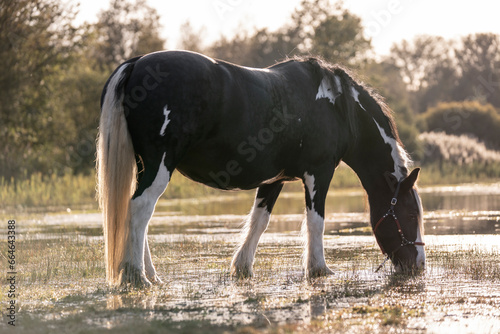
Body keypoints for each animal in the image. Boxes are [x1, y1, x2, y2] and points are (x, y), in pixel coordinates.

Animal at [97, 49, 426, 288]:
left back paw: (150, 275)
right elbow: (315, 222)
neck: (334, 105)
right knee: (140, 209)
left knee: (136, 212)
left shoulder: (273, 179)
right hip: (159, 165)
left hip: (145, 168)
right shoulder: (318, 174)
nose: (419, 265)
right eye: (410, 214)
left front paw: (242, 267)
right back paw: (137, 276)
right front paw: (319, 269)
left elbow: (259, 222)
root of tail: (137, 63)